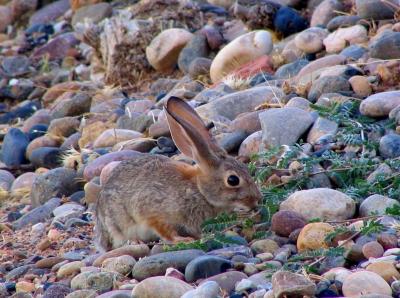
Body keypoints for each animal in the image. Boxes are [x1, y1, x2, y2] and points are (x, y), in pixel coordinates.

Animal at [94, 96, 262, 250]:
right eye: (233, 180)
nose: (257, 200)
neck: (198, 190)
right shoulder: (155, 212)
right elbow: (164, 229)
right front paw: (182, 240)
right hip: (118, 222)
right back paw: (136, 242)